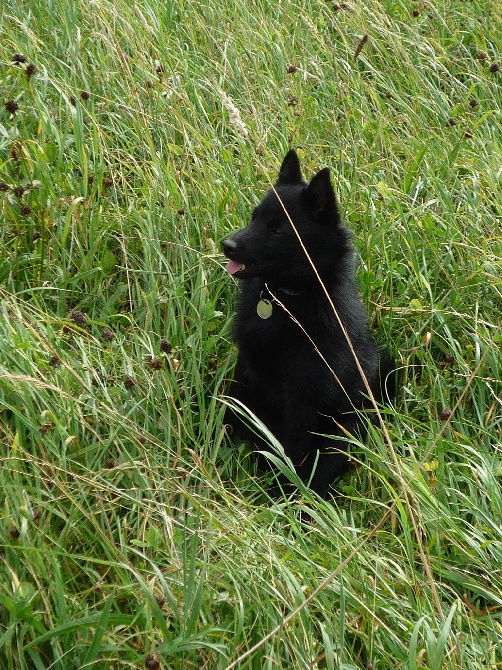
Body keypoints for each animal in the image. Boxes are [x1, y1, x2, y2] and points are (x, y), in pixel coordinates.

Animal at [224, 152, 396, 498]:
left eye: (277, 229)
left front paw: (280, 496)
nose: (227, 245)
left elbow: (291, 452)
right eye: (254, 217)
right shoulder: (246, 373)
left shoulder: (302, 399)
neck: (285, 299)